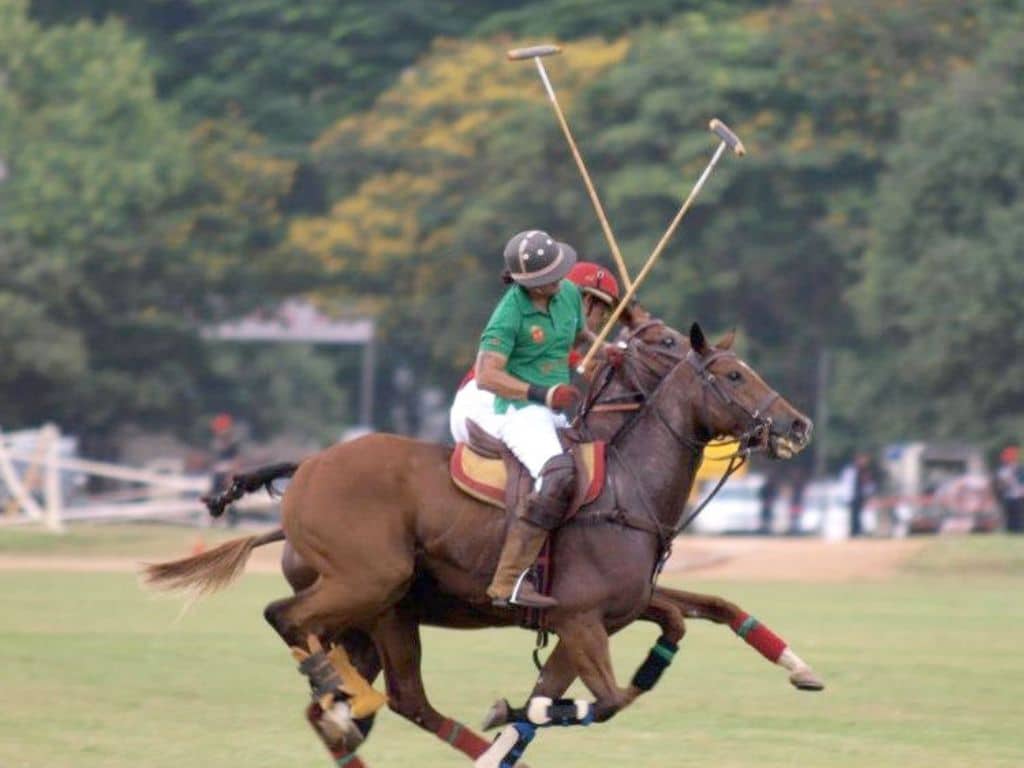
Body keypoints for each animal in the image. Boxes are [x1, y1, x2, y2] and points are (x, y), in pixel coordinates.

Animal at [148, 319, 811, 768]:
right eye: (731, 375)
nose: (797, 425)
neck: (628, 485)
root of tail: (305, 469)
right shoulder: (580, 618)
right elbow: (609, 697)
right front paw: (511, 719)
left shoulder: (610, 612)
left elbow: (693, 615)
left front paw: (800, 668)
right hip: (372, 584)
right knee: (290, 622)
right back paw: (350, 702)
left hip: (376, 617)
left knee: (385, 699)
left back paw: (347, 709)